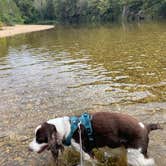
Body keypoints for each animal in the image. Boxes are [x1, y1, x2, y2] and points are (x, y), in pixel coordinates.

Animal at [28, 111, 161, 165]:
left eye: (39, 138)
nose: (29, 148)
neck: (67, 128)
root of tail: (146, 126)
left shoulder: (86, 153)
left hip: (135, 155)